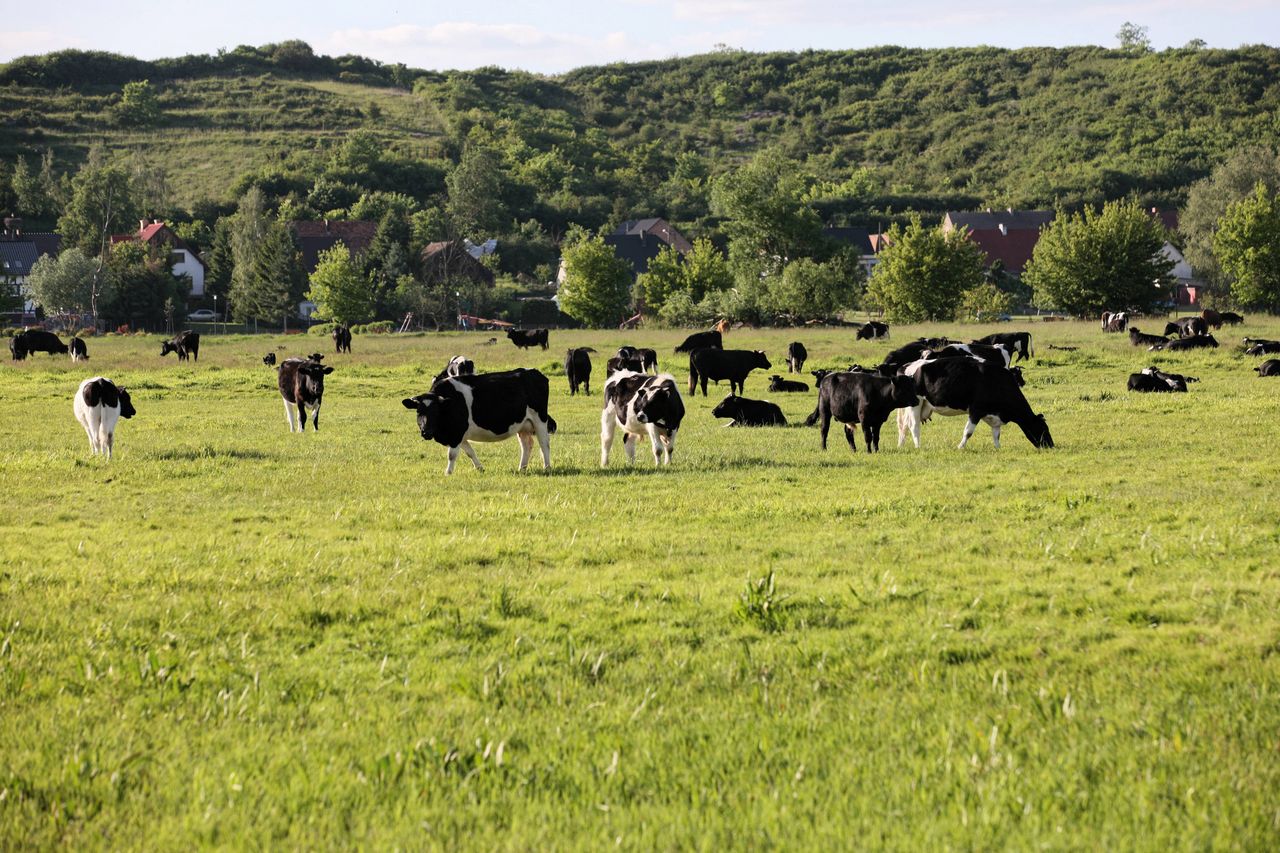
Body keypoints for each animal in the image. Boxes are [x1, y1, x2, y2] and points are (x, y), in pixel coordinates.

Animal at [401, 366, 558, 471]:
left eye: (435, 411)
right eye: (419, 411)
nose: (426, 432)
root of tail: (534, 372)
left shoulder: (456, 433)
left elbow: (452, 455)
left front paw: (448, 473)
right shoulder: (458, 435)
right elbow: (470, 452)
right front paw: (480, 468)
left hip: (540, 420)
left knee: (544, 444)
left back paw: (547, 467)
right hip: (523, 424)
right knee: (527, 444)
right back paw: (522, 468)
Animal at [896, 356, 1054, 448]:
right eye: (1043, 429)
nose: (1051, 446)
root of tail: (906, 366)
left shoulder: (994, 415)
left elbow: (996, 434)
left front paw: (998, 448)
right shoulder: (976, 410)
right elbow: (968, 432)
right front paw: (960, 447)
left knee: (904, 425)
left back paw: (901, 445)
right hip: (916, 403)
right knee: (914, 425)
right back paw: (918, 447)